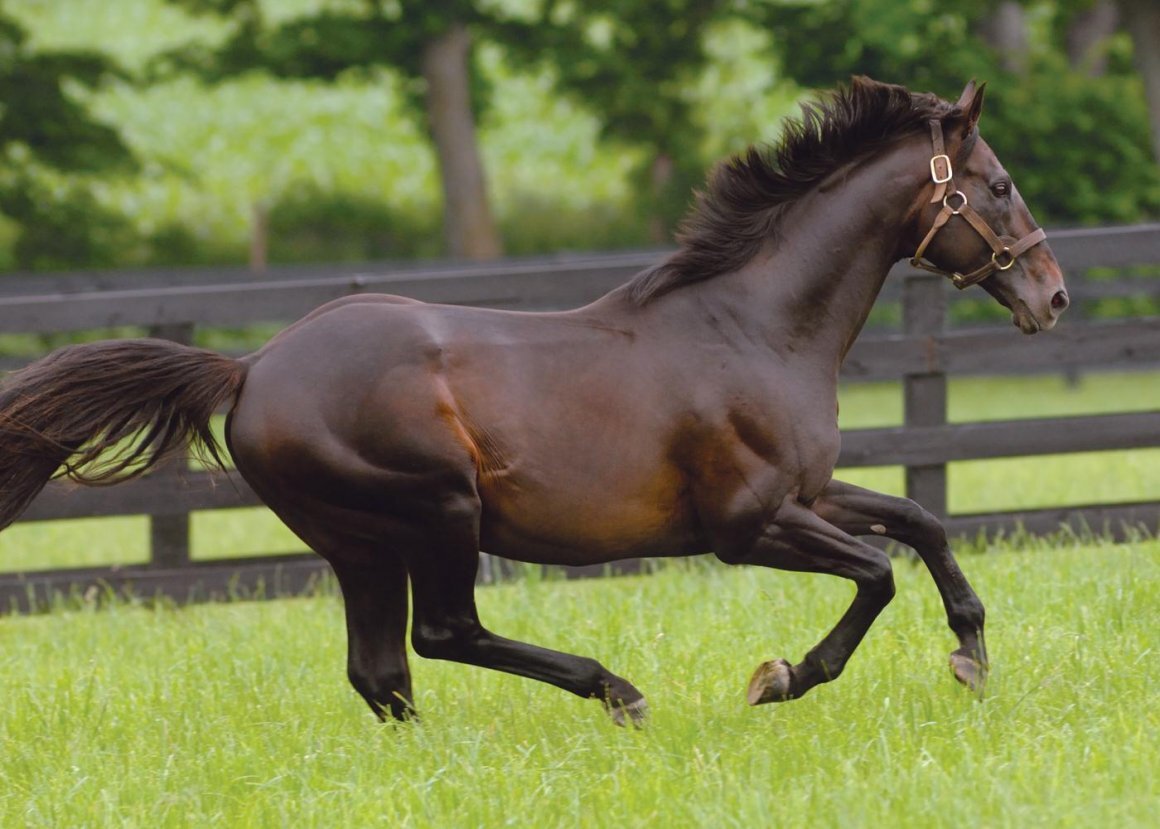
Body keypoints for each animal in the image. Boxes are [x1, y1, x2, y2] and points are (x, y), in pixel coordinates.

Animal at [0, 77, 1067, 728]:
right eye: (998, 184)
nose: (1054, 296)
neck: (755, 325)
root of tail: (253, 366)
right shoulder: (747, 523)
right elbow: (878, 571)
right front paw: (780, 677)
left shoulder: (805, 494)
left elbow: (920, 518)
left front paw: (971, 654)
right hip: (436, 509)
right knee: (441, 636)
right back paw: (615, 690)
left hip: (359, 543)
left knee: (382, 671)